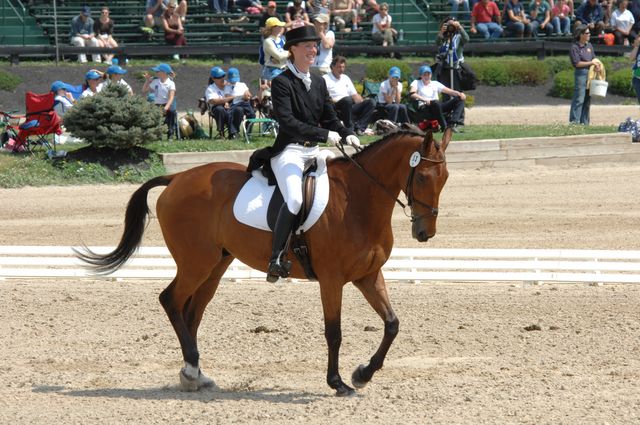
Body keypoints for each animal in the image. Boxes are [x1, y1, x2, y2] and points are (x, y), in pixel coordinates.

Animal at [77, 127, 452, 396]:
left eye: (445, 179)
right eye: (421, 177)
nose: (424, 233)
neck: (358, 201)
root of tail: (177, 178)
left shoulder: (368, 275)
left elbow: (392, 324)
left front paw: (362, 374)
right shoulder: (332, 279)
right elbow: (334, 332)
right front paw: (338, 383)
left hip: (216, 265)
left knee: (192, 312)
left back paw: (195, 375)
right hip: (196, 262)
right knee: (170, 300)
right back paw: (192, 369)